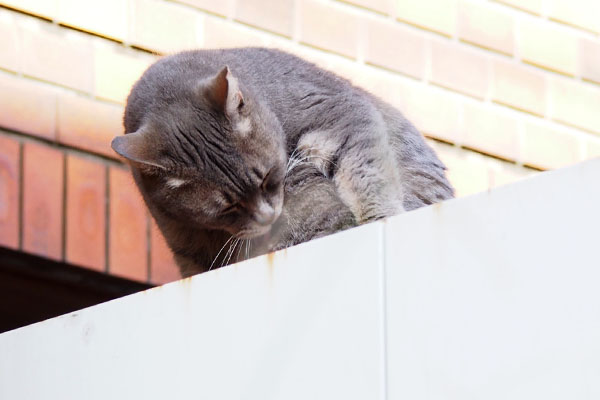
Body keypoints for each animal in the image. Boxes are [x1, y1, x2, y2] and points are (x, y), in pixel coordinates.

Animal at [110, 47, 452, 278]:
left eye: (267, 179)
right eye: (228, 207)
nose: (268, 216)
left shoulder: (340, 113)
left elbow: (367, 174)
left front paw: (380, 219)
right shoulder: (181, 236)